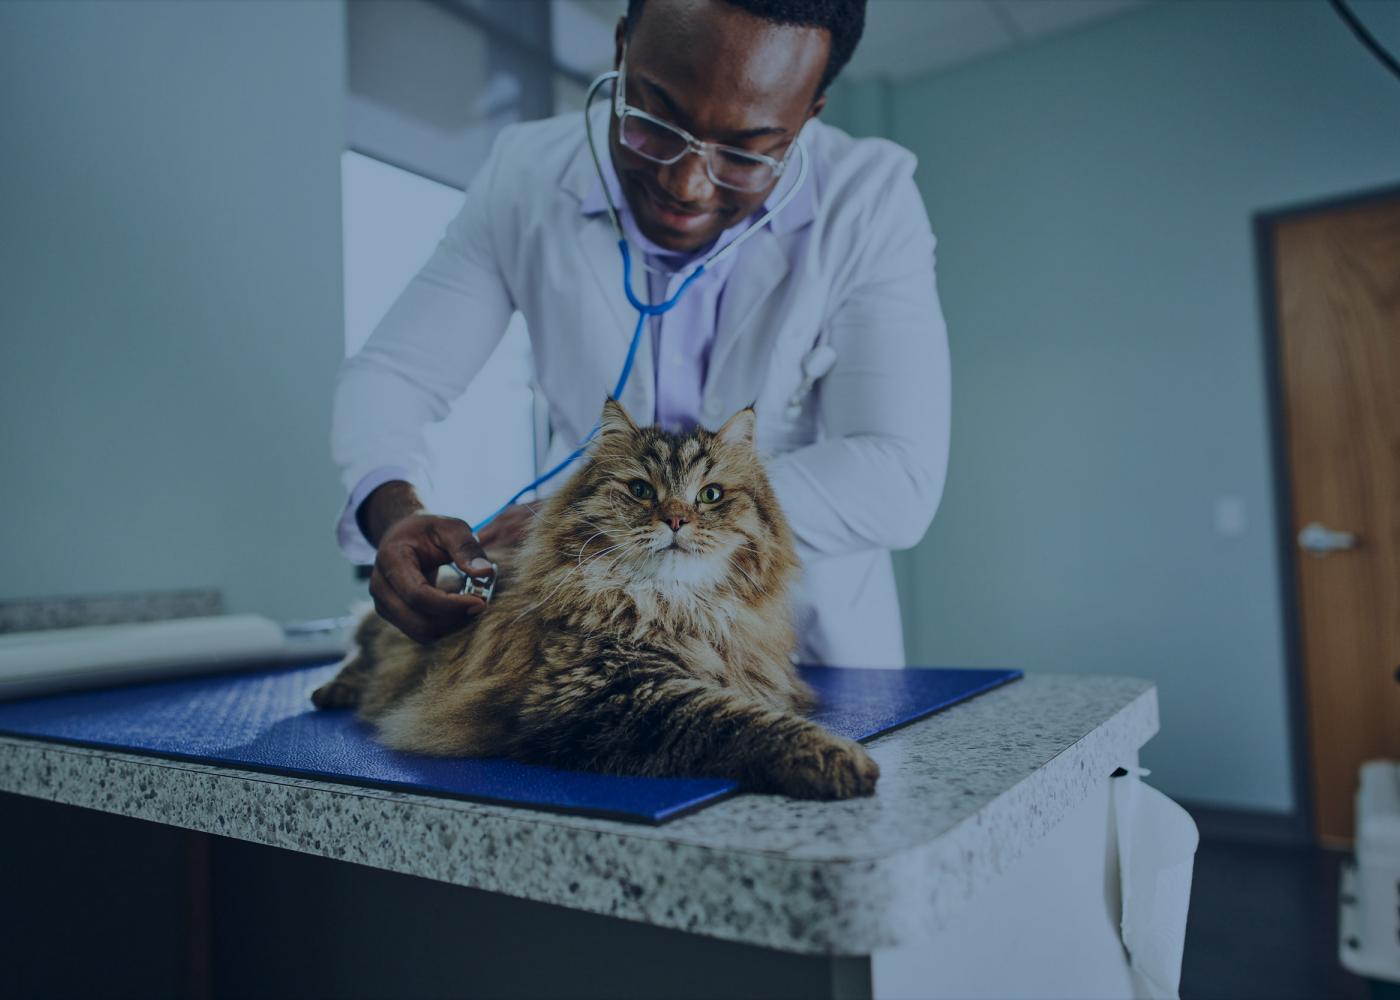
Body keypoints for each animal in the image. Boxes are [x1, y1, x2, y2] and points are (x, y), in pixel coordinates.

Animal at [313, 392, 879, 801]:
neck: (673, 605)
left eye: (710, 495)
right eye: (642, 491)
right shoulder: (606, 692)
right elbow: (738, 722)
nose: (676, 520)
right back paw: (332, 692)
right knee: (361, 653)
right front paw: (838, 758)